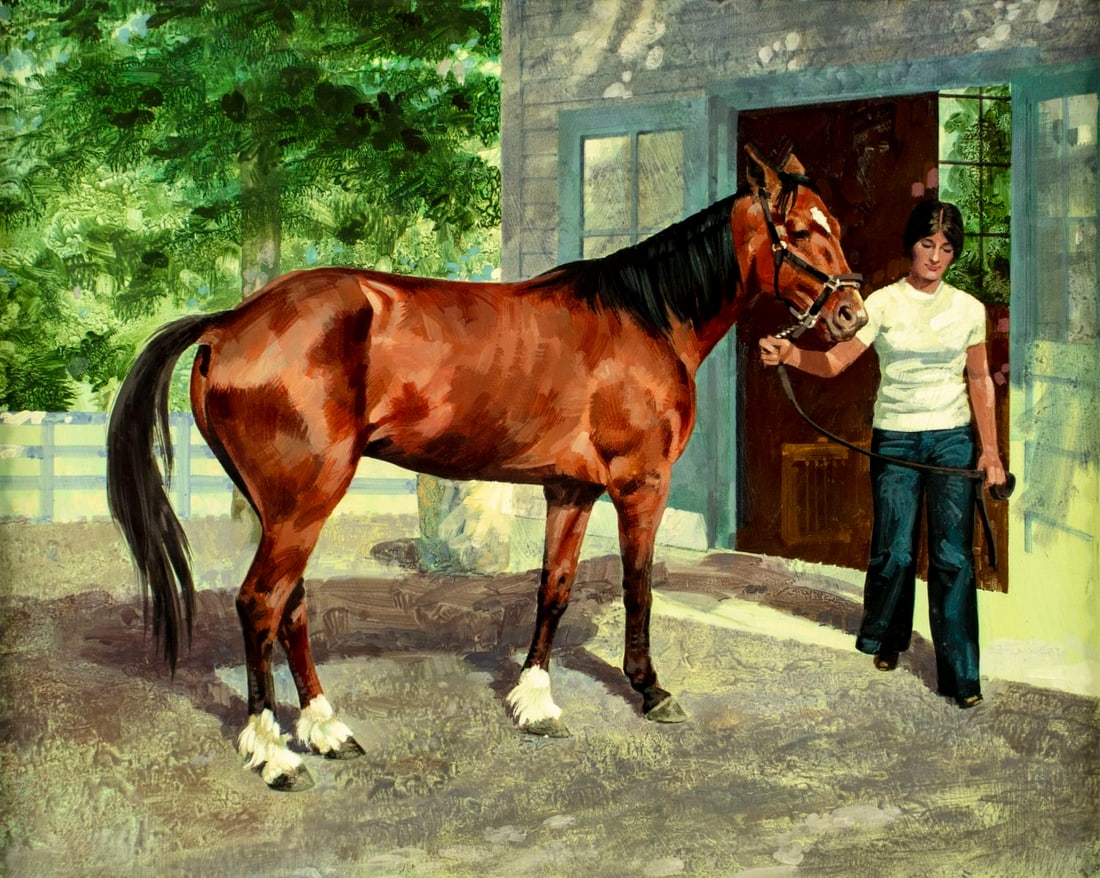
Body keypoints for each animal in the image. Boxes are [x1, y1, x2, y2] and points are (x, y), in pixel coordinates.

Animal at [106, 145, 867, 790]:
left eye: (833, 224)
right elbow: (640, 587)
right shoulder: (640, 485)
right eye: (798, 230)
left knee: (288, 606)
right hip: (303, 502)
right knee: (260, 603)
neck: (645, 315)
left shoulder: (571, 489)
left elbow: (553, 589)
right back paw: (273, 752)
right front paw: (651, 689)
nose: (851, 315)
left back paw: (326, 730)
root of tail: (228, 322)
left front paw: (535, 702)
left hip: (286, 507)